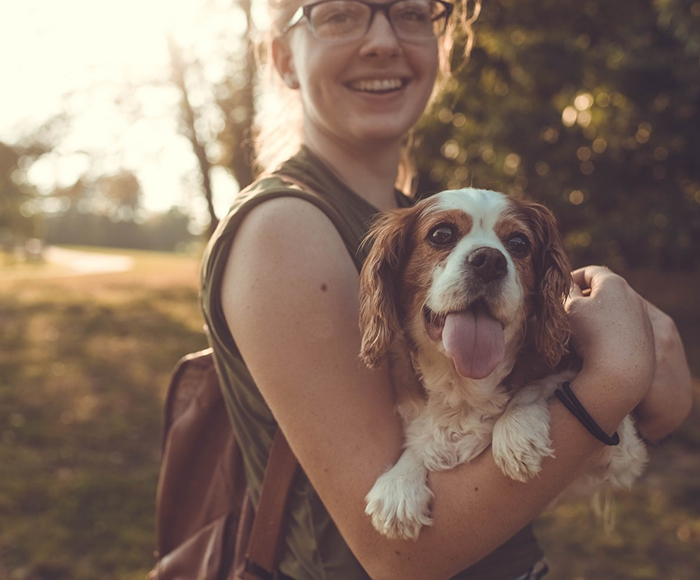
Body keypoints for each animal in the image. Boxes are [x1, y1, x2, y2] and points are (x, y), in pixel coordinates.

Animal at [358, 188, 648, 540]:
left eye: (519, 243)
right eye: (441, 234)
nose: (489, 260)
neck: (464, 385)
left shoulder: (622, 455)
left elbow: (542, 384)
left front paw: (516, 430)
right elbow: (423, 439)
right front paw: (400, 481)